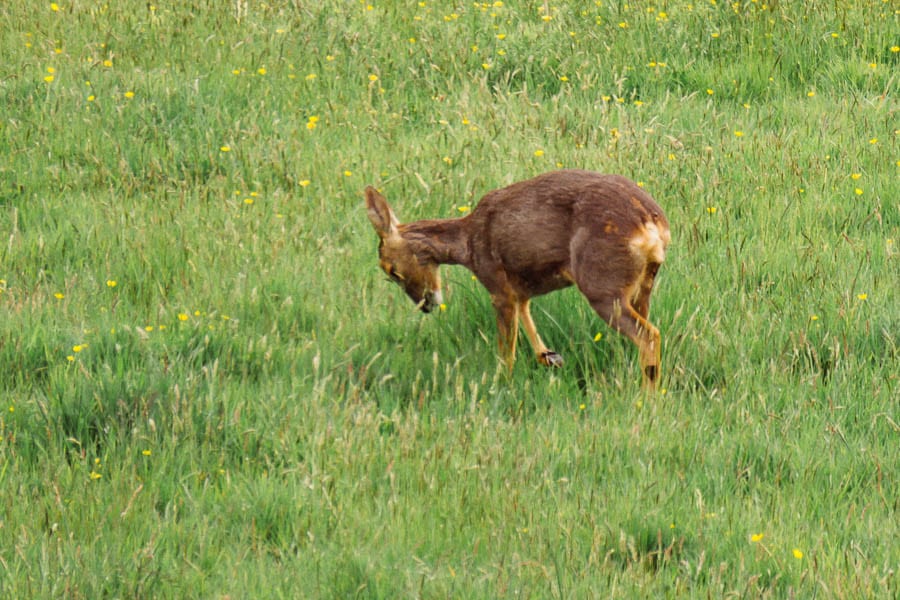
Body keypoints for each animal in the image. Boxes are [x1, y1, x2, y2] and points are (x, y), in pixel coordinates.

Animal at [364, 169, 668, 390]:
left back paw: (647, 399)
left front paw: (501, 385)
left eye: (391, 270)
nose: (426, 304)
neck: (468, 243)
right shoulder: (521, 291)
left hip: (602, 287)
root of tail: (653, 225)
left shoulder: (498, 287)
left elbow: (506, 350)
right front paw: (551, 358)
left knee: (649, 335)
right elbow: (531, 331)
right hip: (642, 286)